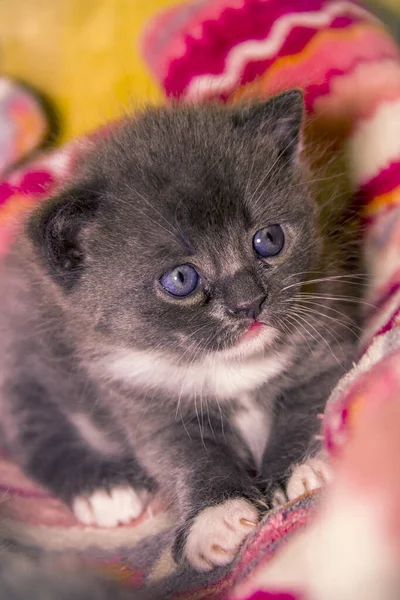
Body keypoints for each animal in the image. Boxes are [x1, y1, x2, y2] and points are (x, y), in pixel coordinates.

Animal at [0, 90, 360, 572]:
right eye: (181, 279)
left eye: (269, 239)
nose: (249, 303)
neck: (227, 366)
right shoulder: (142, 401)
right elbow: (187, 457)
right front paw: (215, 517)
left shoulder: (323, 341)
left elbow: (308, 405)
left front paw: (301, 471)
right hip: (22, 363)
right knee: (35, 434)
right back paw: (107, 490)